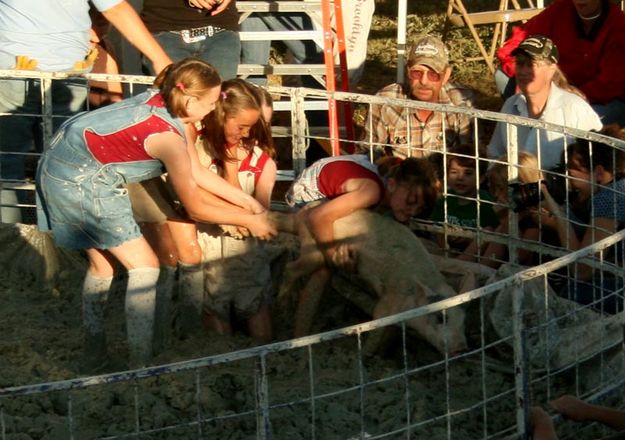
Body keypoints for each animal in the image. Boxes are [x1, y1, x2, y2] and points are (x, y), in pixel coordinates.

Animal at [268, 208, 468, 356]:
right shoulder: (389, 300)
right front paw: (365, 356)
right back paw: (283, 304)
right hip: (315, 250)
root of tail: (301, 215)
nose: (461, 348)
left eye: (463, 321)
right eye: (441, 317)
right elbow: (377, 322)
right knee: (291, 268)